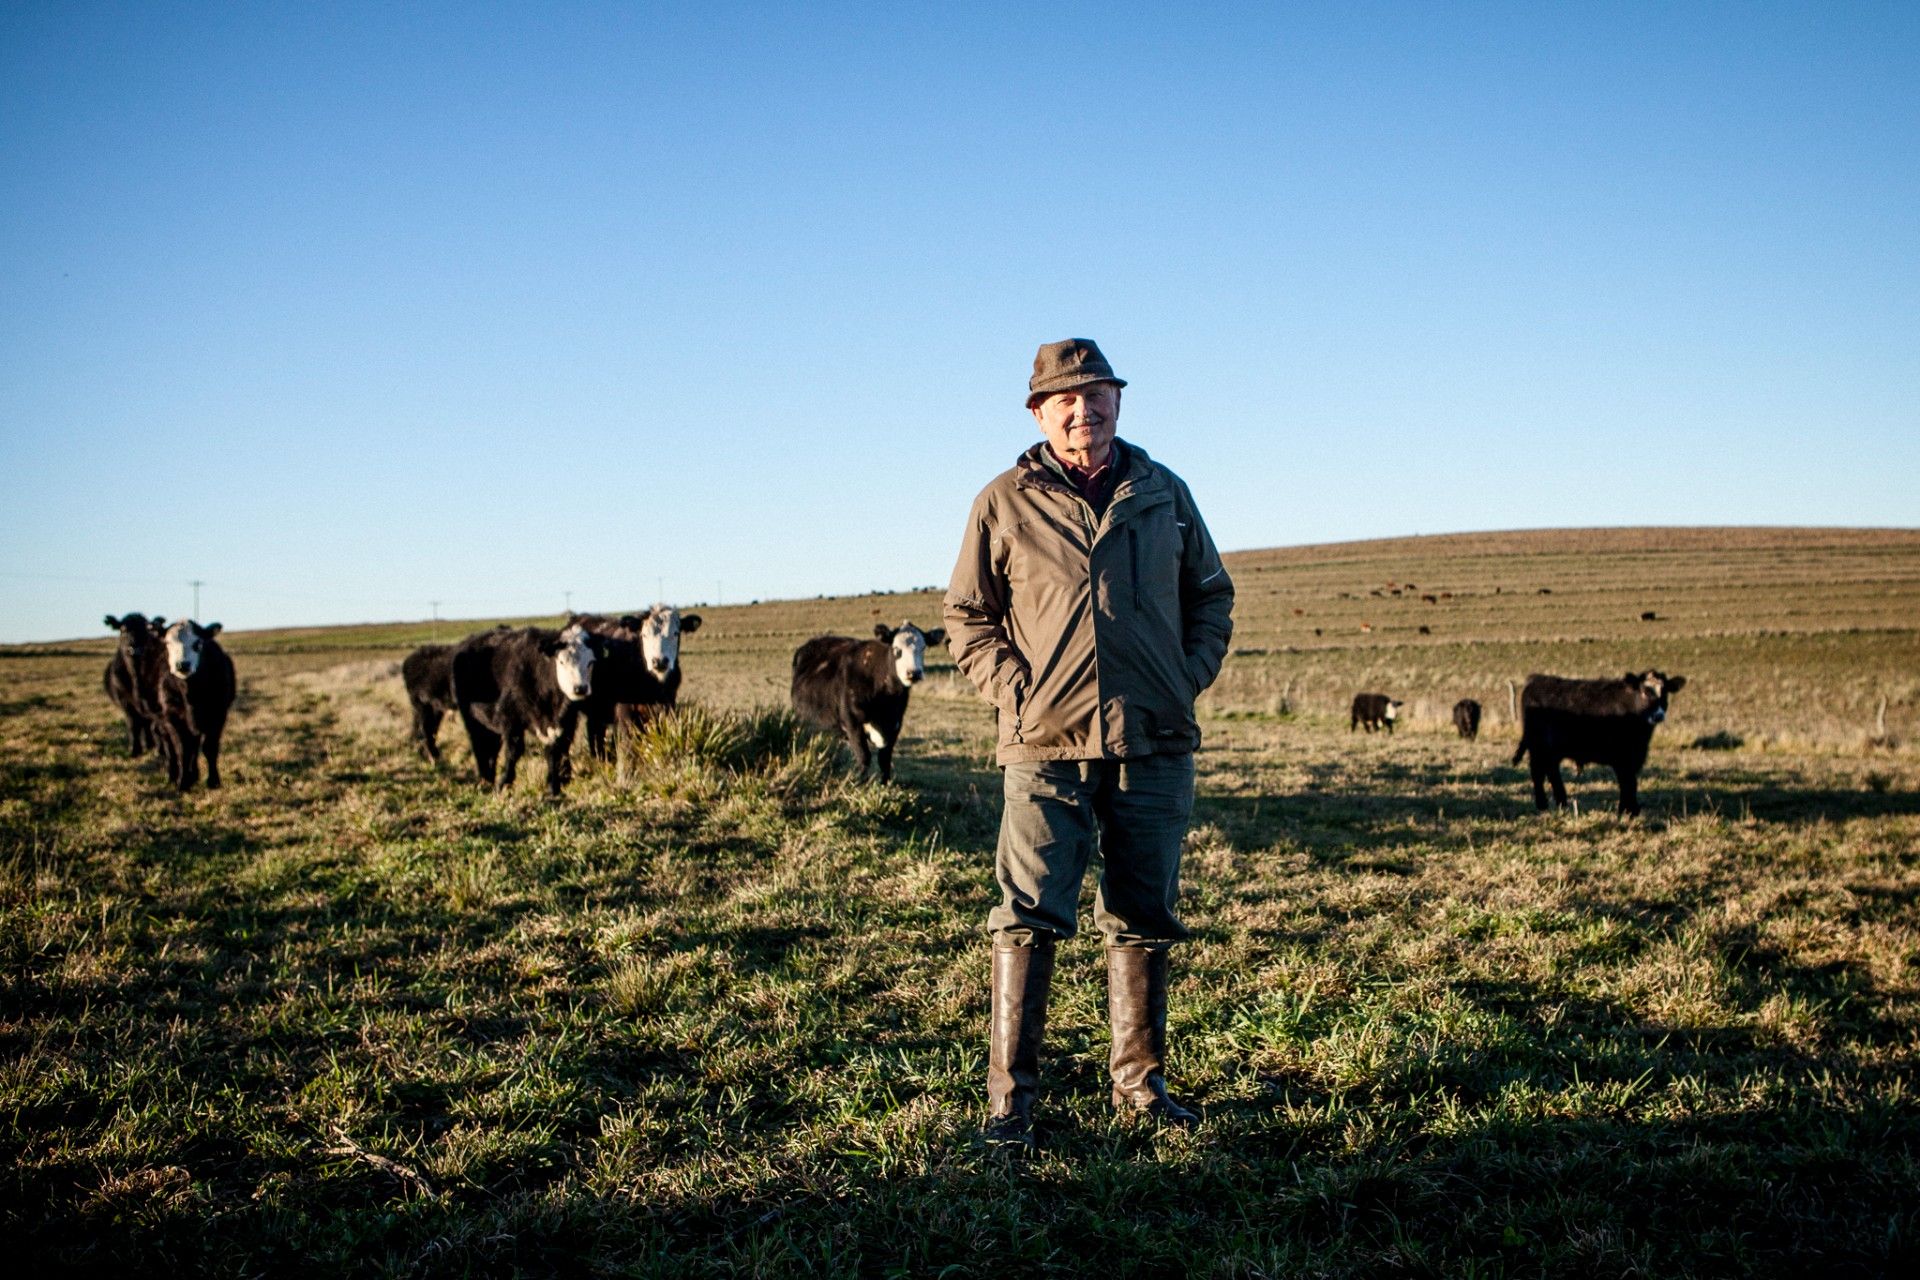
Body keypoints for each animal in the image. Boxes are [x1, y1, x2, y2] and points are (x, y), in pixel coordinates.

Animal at [101, 614, 165, 756]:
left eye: (147, 629)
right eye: (123, 629)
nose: (135, 649)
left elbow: (154, 724)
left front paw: (159, 750)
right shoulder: (125, 702)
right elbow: (132, 725)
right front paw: (134, 750)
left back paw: (151, 744)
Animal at [155, 621, 238, 790]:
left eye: (198, 643)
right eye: (167, 643)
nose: (182, 665)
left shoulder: (218, 715)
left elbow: (209, 748)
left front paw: (213, 780)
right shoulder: (172, 716)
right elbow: (182, 749)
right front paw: (183, 781)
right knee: (181, 745)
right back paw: (183, 775)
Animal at [447, 621, 602, 794]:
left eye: (591, 662)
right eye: (562, 661)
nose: (580, 688)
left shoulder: (566, 721)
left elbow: (558, 749)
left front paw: (556, 784)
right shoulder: (510, 719)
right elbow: (514, 750)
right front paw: (504, 782)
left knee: (491, 746)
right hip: (470, 717)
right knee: (479, 745)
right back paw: (484, 780)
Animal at [791, 621, 948, 782]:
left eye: (923, 648)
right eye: (897, 650)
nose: (914, 673)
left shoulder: (895, 724)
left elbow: (884, 759)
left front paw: (884, 784)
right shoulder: (853, 723)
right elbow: (864, 756)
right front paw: (861, 784)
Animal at [1505, 675, 1689, 817]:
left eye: (1665, 692)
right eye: (1645, 691)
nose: (1659, 715)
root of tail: (1535, 681)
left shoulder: (1634, 757)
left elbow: (1631, 782)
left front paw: (1631, 809)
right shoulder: (1622, 759)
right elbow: (1628, 782)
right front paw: (1627, 810)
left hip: (1551, 750)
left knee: (1551, 771)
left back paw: (1562, 803)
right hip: (1538, 746)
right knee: (1538, 772)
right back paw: (1543, 804)